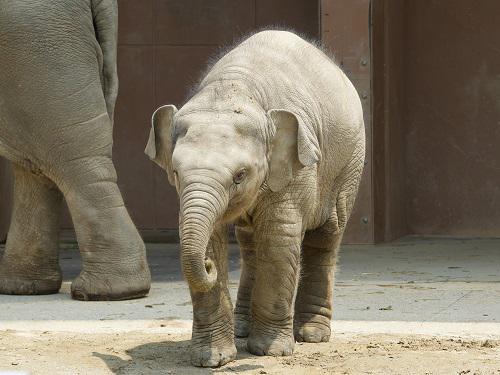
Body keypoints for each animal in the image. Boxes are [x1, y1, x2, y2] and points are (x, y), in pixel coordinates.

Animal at [146, 30, 366, 368]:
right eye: (175, 172)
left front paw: (270, 351)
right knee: (249, 244)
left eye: (240, 175)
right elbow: (213, 238)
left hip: (350, 163)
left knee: (327, 235)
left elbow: (278, 238)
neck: (237, 88)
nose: (207, 267)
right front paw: (213, 359)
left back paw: (312, 335)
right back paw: (241, 328)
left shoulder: (296, 169)